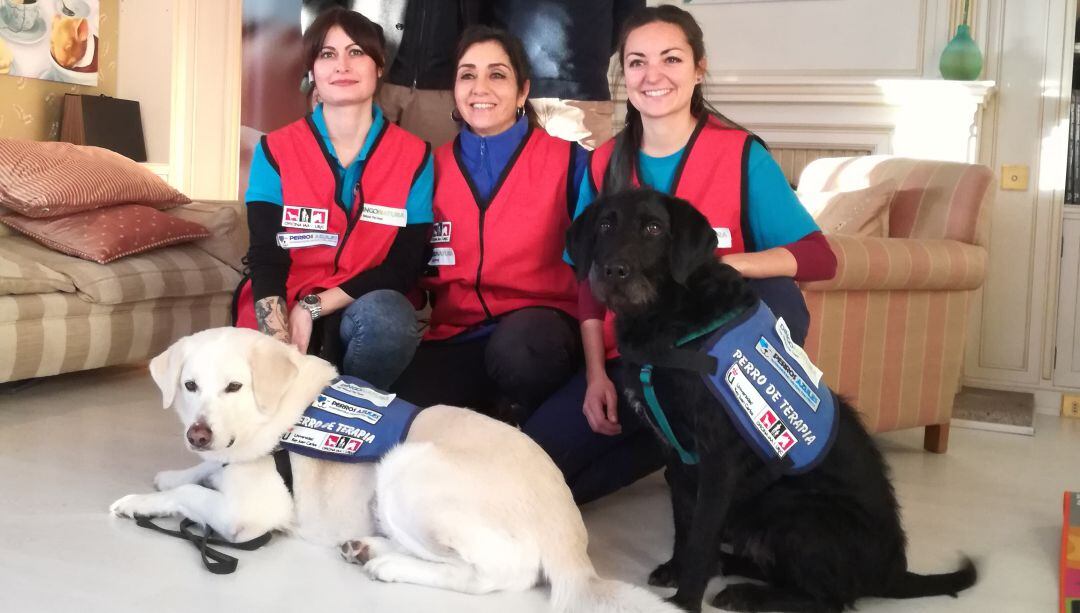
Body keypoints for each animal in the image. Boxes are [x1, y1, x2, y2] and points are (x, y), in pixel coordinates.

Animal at [111, 330, 673, 613]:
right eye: (189, 386)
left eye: (234, 387)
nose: (198, 434)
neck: (274, 415)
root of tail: (570, 538)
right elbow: (198, 477)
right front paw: (171, 474)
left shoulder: (247, 515)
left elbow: (195, 496)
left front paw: (141, 502)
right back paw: (367, 547)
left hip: (405, 466)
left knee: (491, 576)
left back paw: (390, 566)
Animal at [570, 187, 976, 613]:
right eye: (605, 224)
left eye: (653, 228)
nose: (613, 270)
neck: (671, 319)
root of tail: (891, 573)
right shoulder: (676, 457)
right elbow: (684, 524)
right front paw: (676, 569)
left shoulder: (718, 462)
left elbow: (700, 538)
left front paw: (685, 600)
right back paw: (730, 566)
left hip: (795, 511)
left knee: (827, 599)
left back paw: (746, 593)